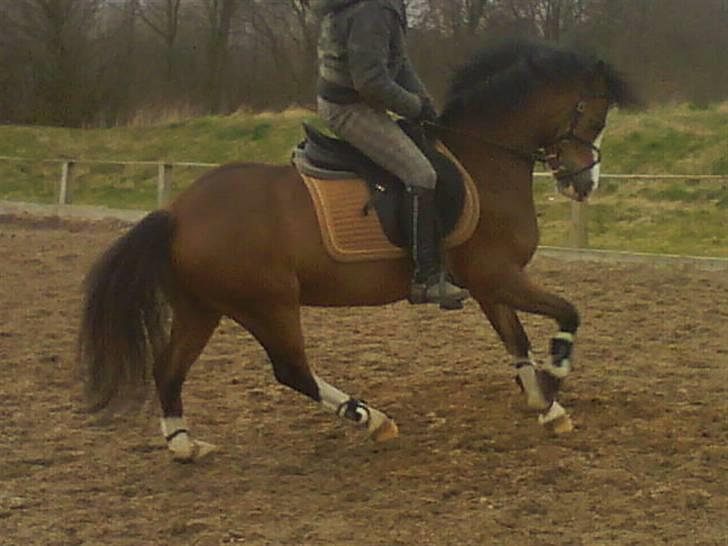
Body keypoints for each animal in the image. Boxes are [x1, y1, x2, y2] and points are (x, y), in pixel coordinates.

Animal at [78, 40, 636, 462]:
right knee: (291, 371)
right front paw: (557, 372)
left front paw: (547, 404)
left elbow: (515, 339)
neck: (483, 161)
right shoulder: (498, 275)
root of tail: (177, 213)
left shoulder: (487, 284)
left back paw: (184, 444)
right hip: (268, 304)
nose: (583, 184)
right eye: (595, 116)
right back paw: (371, 419)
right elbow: (568, 311)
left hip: (204, 308)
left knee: (169, 369)